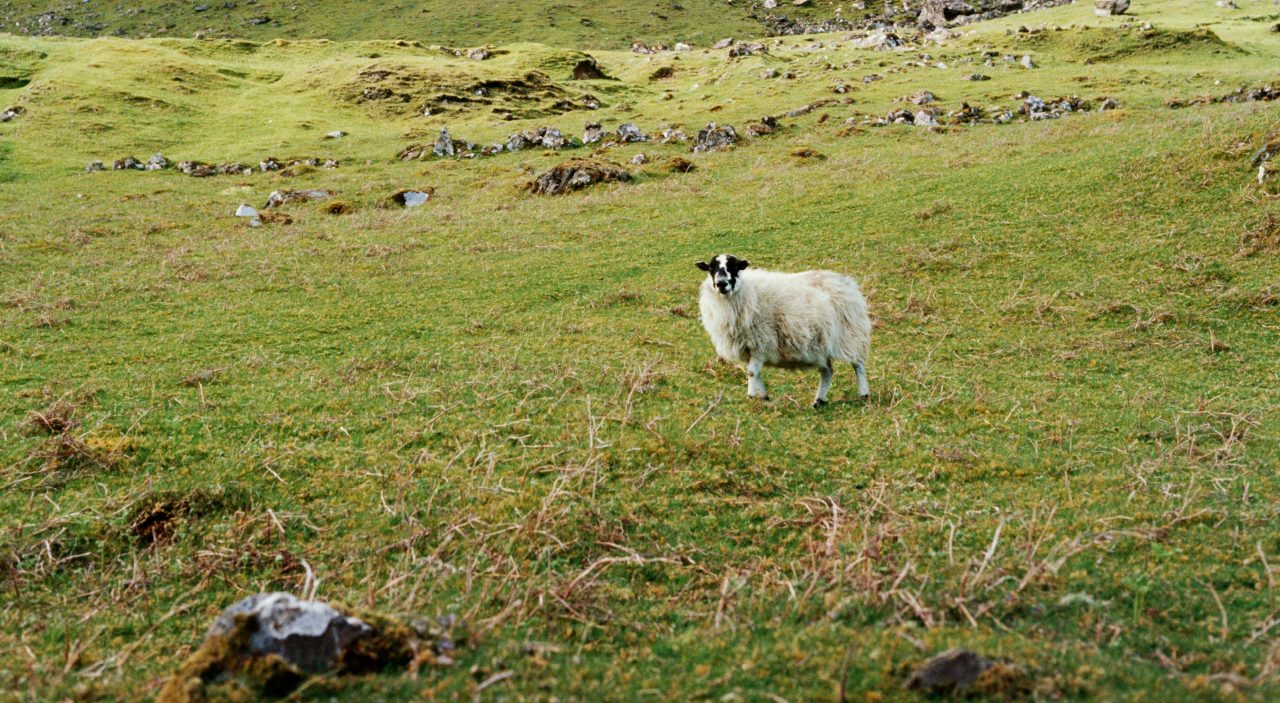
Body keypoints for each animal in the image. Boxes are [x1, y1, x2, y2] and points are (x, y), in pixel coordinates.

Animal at [695, 254, 871, 407]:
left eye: (735, 267)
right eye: (711, 268)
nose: (721, 283)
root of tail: (848, 283)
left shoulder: (762, 343)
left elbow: (751, 372)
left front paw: (751, 395)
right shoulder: (751, 348)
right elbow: (755, 373)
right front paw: (763, 396)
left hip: (850, 335)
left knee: (858, 365)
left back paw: (863, 394)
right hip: (821, 345)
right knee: (827, 372)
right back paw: (819, 401)